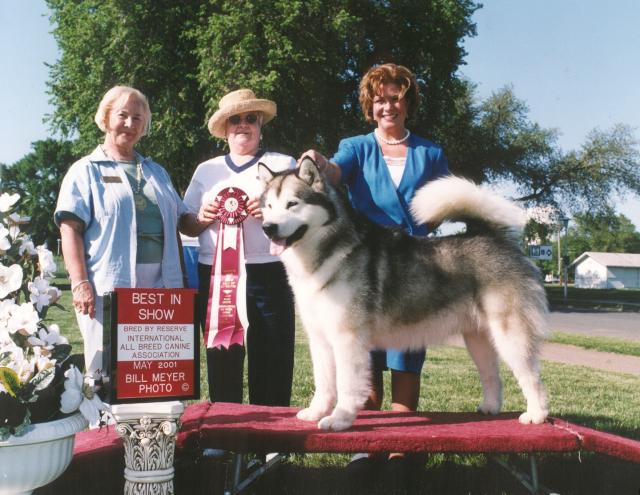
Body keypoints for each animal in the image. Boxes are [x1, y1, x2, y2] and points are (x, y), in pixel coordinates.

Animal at [258, 160, 548, 434]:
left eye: (292, 204)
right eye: (269, 206)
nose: (267, 228)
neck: (323, 256)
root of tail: (492, 237)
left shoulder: (347, 339)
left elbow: (347, 385)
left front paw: (340, 419)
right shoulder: (320, 339)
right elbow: (324, 382)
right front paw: (316, 411)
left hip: (510, 336)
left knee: (532, 377)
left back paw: (536, 415)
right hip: (479, 339)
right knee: (492, 376)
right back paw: (490, 407)